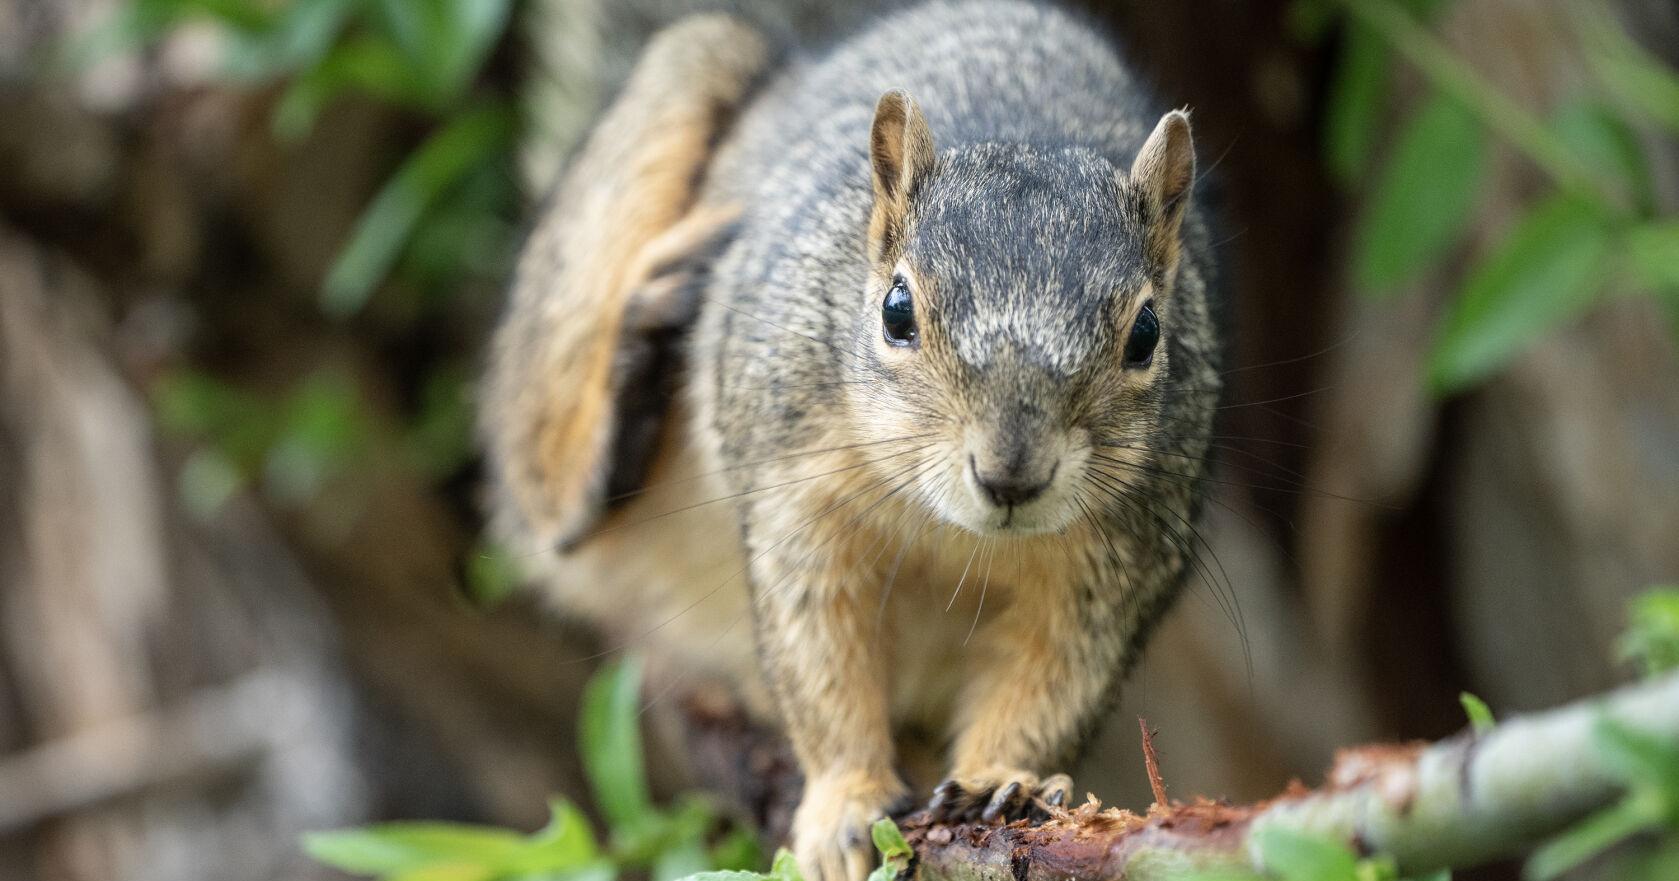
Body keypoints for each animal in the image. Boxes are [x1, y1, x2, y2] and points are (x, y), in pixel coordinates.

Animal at [480, 3, 1222, 880]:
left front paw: (1000, 778)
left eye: (1146, 334)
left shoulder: (1116, 563)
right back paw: (636, 359)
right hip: (654, 134)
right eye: (896, 310)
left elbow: (1054, 682)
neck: (950, 531)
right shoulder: (795, 490)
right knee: (541, 477)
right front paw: (845, 801)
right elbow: (820, 659)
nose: (1010, 474)